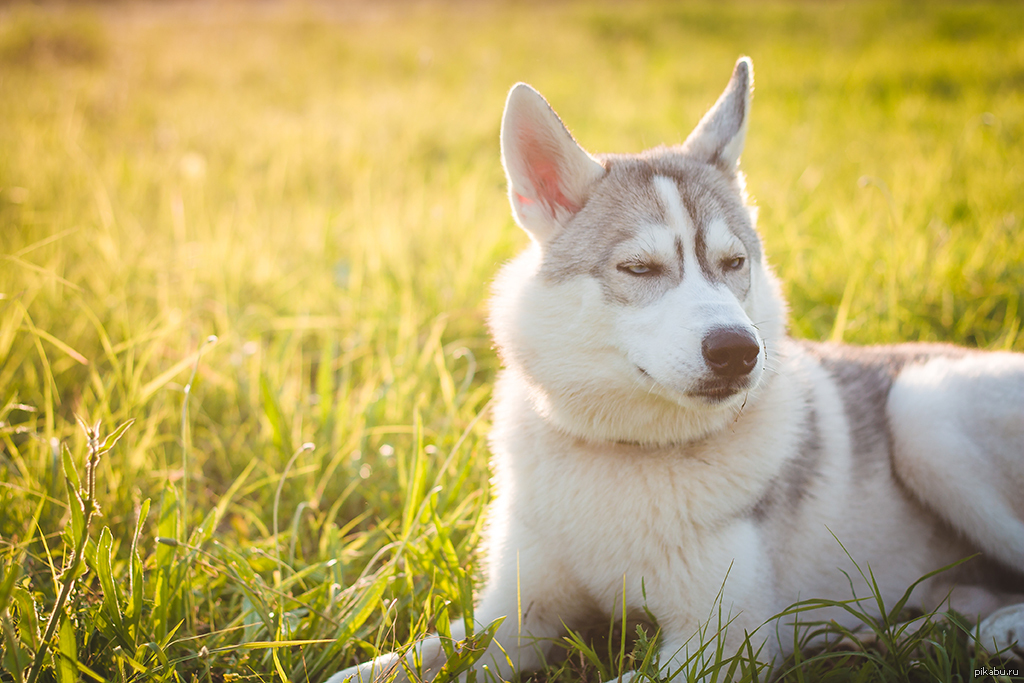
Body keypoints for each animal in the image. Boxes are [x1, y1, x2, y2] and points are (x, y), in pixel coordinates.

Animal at [327, 58, 1024, 683]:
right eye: (640, 268)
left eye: (734, 262)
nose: (738, 350)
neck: (623, 453)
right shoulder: (514, 617)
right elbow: (380, 668)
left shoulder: (718, 643)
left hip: (925, 409)